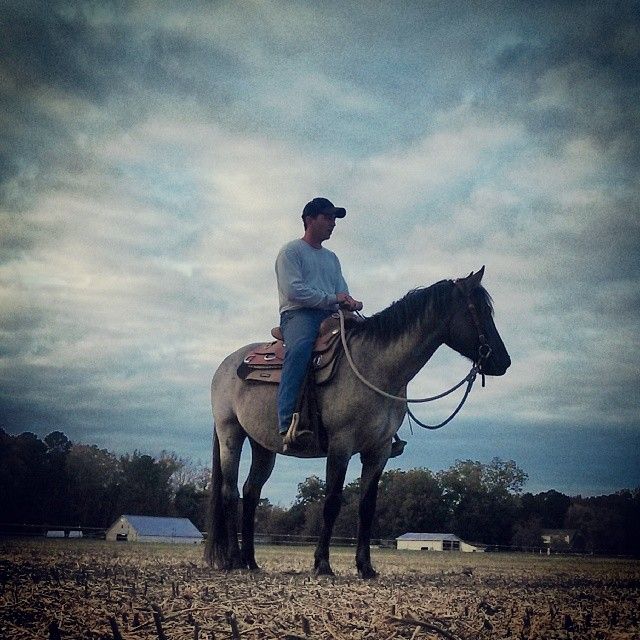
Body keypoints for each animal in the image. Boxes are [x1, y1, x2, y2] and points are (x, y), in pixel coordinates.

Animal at [205, 267, 510, 578]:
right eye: (480, 310)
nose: (504, 361)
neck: (376, 368)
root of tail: (226, 365)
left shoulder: (379, 450)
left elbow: (367, 507)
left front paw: (365, 566)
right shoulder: (341, 445)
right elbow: (332, 502)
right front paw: (323, 564)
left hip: (263, 446)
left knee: (251, 493)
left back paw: (251, 562)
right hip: (231, 433)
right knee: (230, 492)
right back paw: (233, 560)